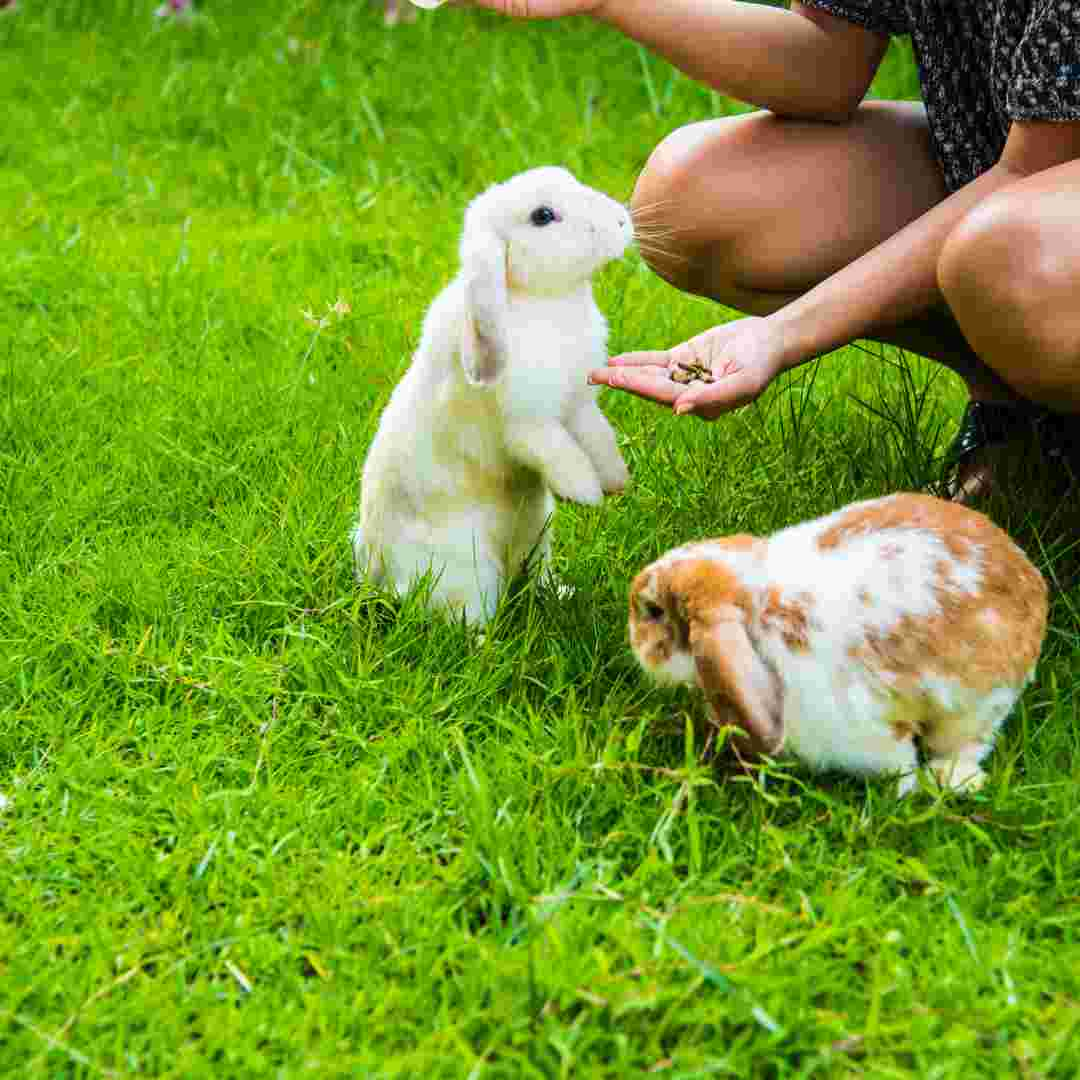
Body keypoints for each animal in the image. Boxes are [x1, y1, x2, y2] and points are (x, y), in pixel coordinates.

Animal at [349, 166, 630, 626]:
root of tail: (376, 573)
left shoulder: (577, 405)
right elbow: (561, 453)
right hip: (465, 570)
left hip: (536, 529)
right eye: (542, 215)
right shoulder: (528, 424)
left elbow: (598, 438)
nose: (623, 222)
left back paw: (559, 594)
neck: (543, 300)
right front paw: (586, 493)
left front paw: (615, 479)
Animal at [630, 494, 1049, 799]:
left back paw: (950, 779)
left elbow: (897, 759)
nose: (632, 640)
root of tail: (1034, 584)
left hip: (979, 704)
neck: (757, 604)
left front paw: (902, 789)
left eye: (653, 610)